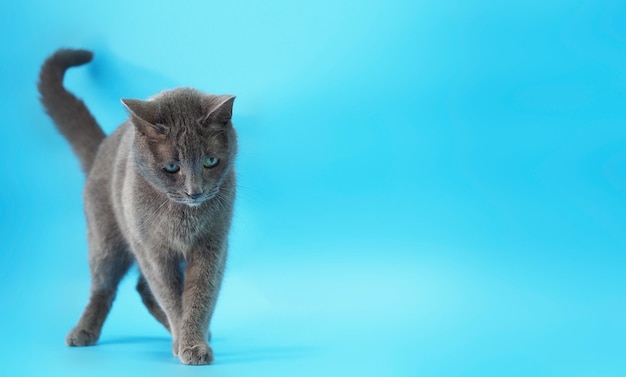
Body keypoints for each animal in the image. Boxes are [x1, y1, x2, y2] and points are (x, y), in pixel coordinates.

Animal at [37, 48, 236, 362]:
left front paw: (193, 341)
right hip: (106, 239)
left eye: (210, 161)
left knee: (142, 288)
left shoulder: (212, 244)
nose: (195, 192)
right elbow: (170, 295)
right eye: (171, 167)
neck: (182, 215)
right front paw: (187, 343)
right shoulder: (152, 249)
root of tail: (103, 147)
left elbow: (201, 293)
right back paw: (83, 331)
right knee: (104, 287)